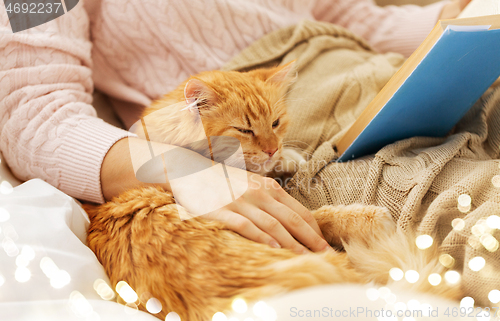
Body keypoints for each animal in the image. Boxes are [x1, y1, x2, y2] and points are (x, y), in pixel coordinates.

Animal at [84, 62, 462, 320]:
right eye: (244, 130)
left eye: (276, 124)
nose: (269, 149)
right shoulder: (289, 221)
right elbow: (321, 215)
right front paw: (371, 216)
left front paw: (287, 158)